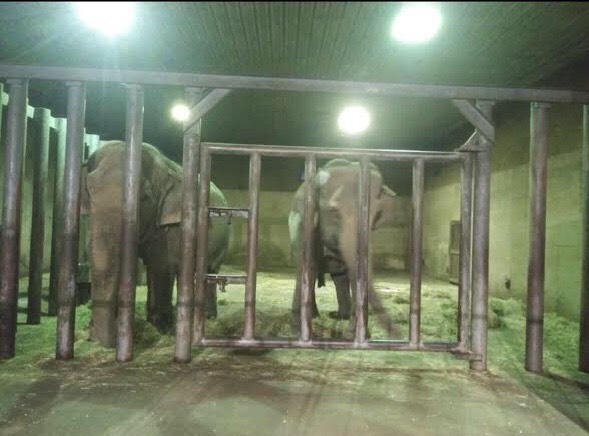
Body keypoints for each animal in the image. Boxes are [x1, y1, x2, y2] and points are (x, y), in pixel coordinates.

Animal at [81, 141, 229, 350]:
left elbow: (162, 266)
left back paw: (207, 317)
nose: (93, 335)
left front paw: (163, 328)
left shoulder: (174, 223)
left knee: (209, 271)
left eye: (144, 197)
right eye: (89, 191)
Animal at [288, 158, 398, 332]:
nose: (396, 332)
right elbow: (308, 266)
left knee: (339, 275)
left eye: (376, 214)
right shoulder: (303, 224)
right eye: (334, 212)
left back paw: (339, 315)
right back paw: (315, 315)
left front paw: (357, 333)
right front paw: (298, 327)